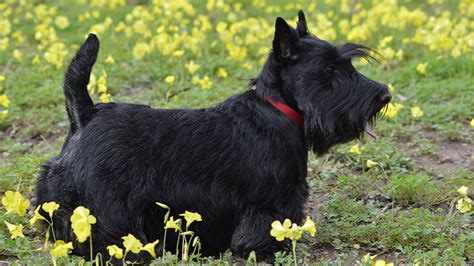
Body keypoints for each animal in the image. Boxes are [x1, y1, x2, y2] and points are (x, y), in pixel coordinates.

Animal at [37, 10, 390, 262]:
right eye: (330, 69)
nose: (384, 95)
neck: (277, 108)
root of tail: (86, 114)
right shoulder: (269, 203)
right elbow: (260, 234)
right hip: (106, 208)